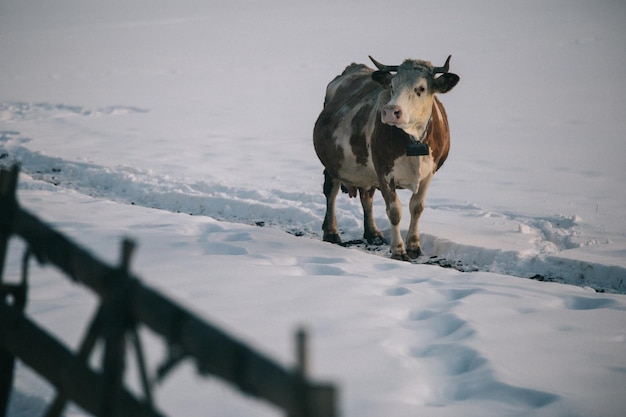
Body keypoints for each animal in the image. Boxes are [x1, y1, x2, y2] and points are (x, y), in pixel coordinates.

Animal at [314, 53, 456, 258]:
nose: (390, 111)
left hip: (365, 171)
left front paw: (414, 245)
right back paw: (331, 232)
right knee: (331, 191)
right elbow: (395, 211)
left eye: (421, 88)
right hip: (333, 162)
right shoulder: (384, 171)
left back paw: (373, 233)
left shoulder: (429, 172)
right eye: (392, 86)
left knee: (367, 196)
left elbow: (417, 207)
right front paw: (398, 250)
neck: (414, 140)